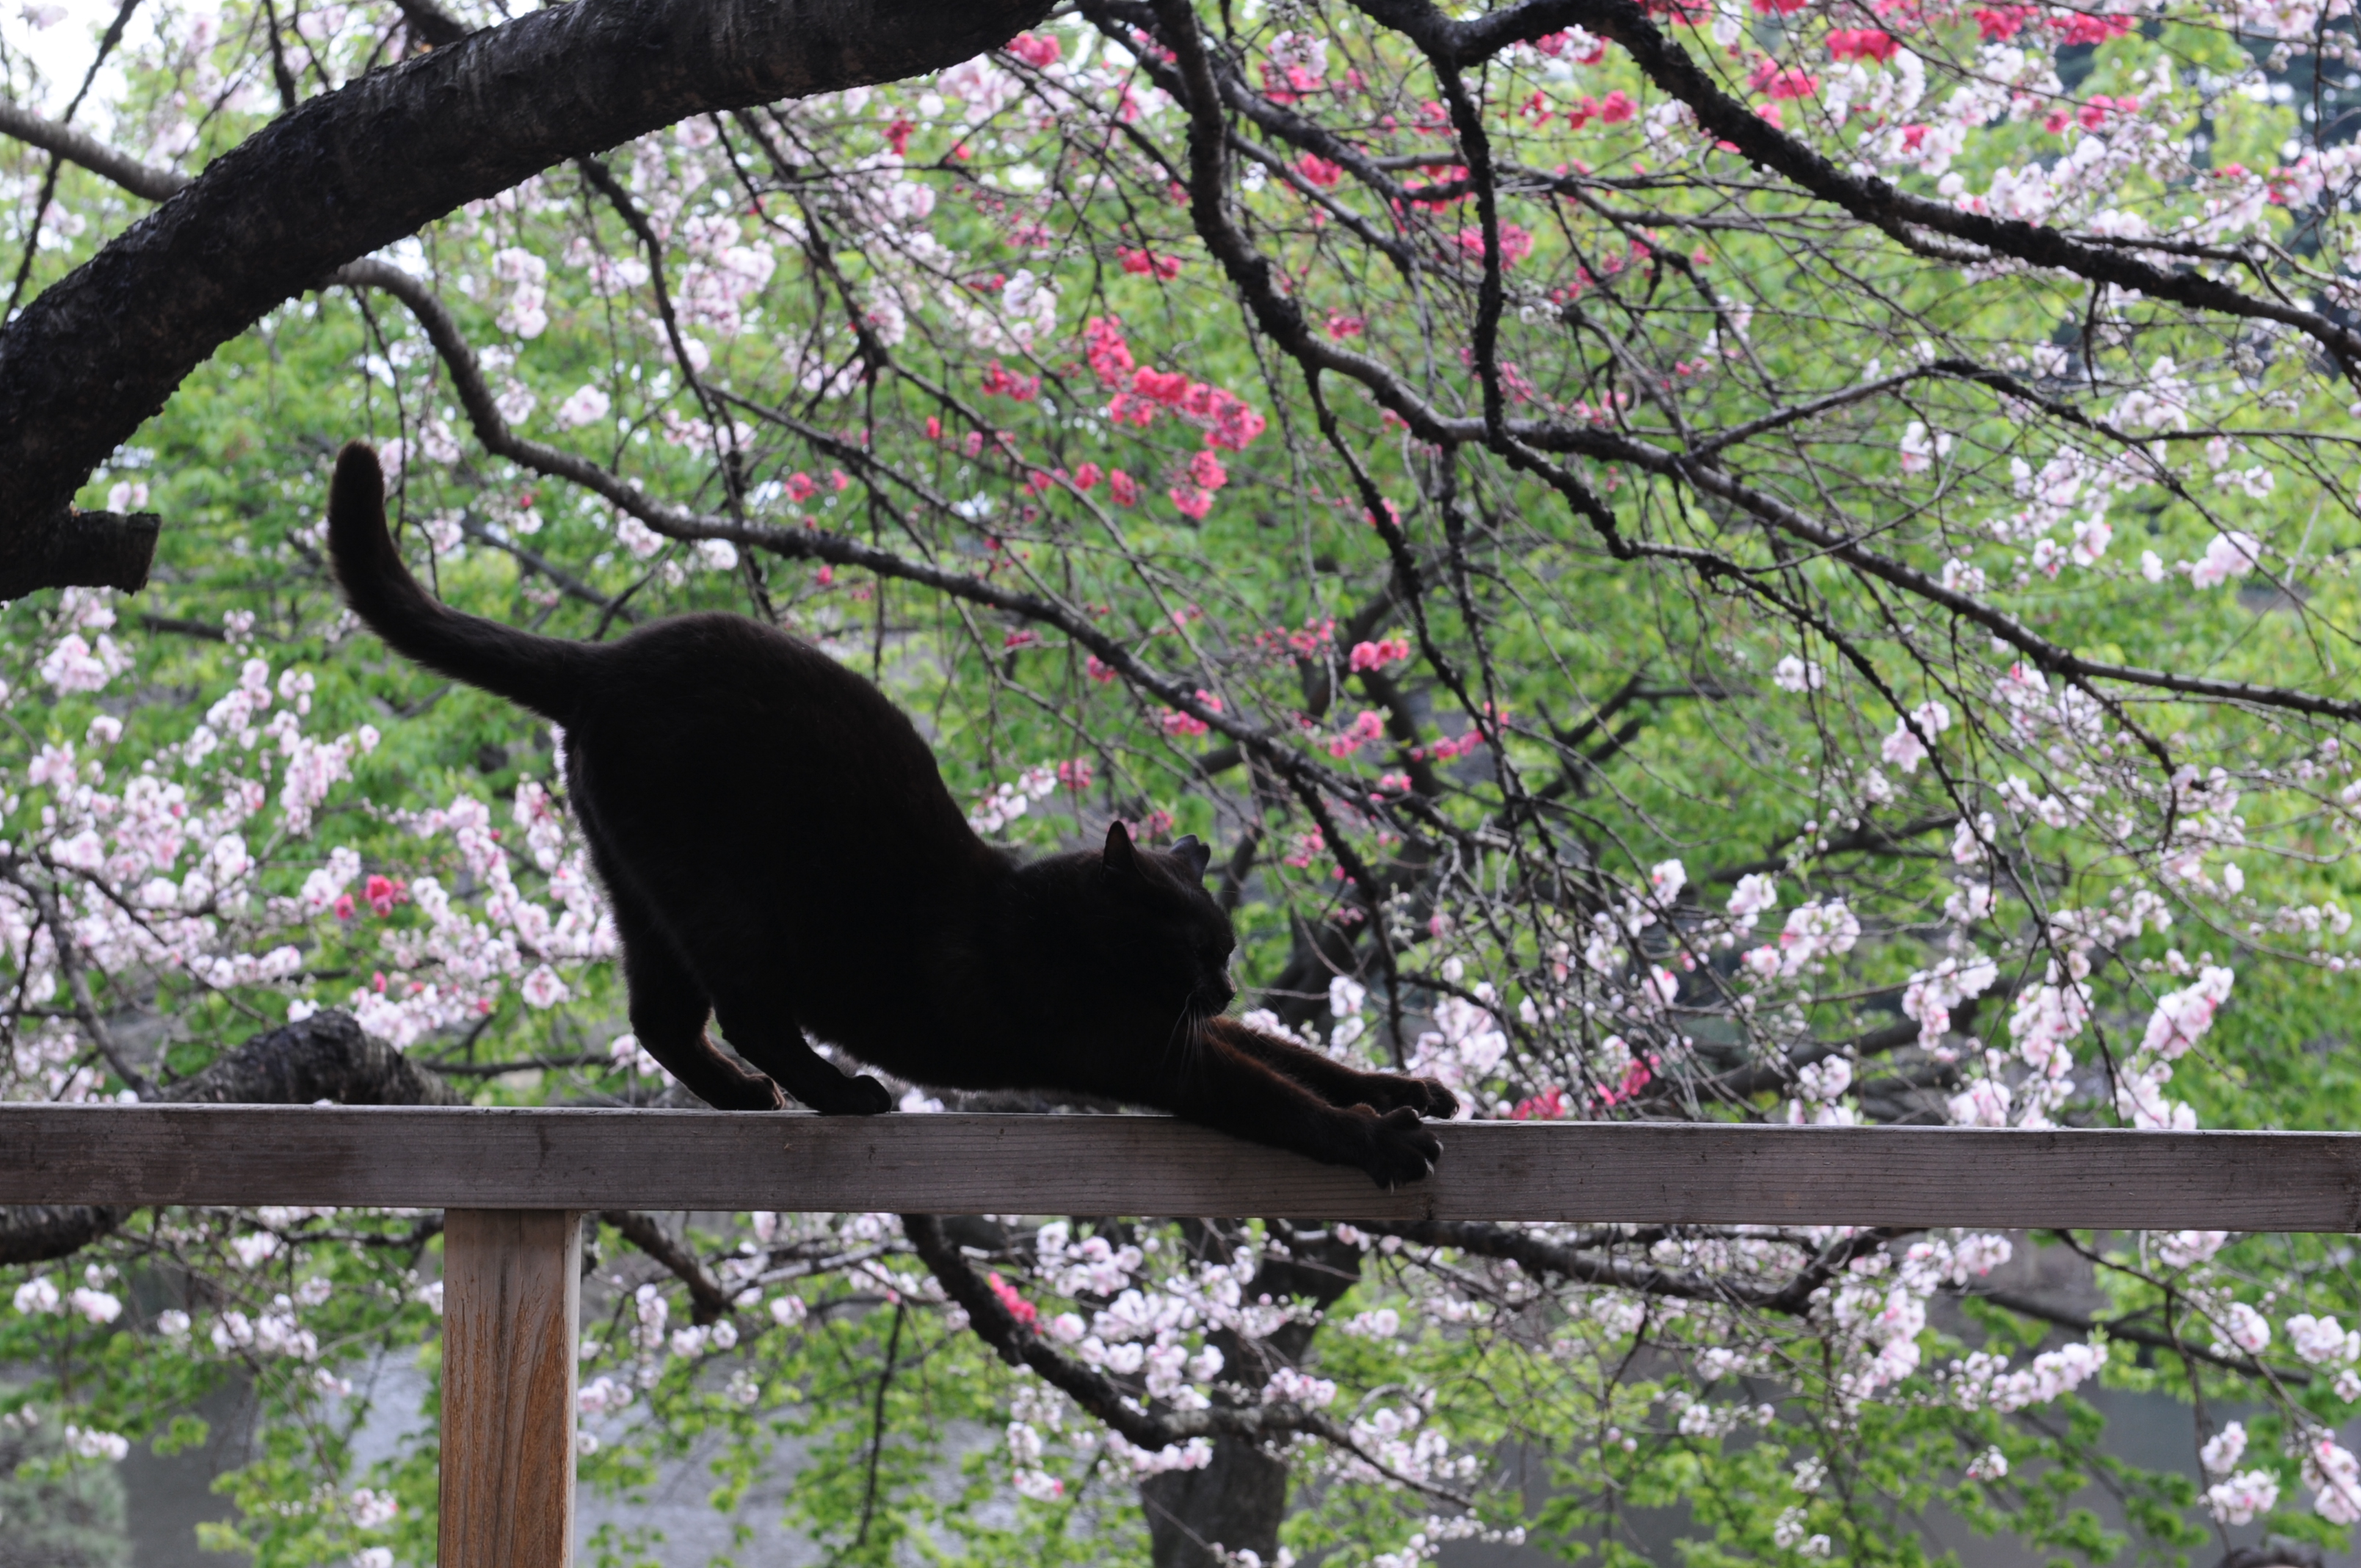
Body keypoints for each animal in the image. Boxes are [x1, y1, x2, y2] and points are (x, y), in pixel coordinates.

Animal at [323, 443, 1445, 1190]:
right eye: (1198, 946)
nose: (1224, 985)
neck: (1064, 928)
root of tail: (604, 662)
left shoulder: (1179, 1032)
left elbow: (1300, 1058)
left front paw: (1404, 1087)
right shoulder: (1149, 1048)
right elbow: (1279, 1097)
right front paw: (1379, 1139)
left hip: (641, 891)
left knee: (661, 1020)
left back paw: (747, 1098)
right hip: (724, 897)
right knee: (748, 1014)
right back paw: (837, 1092)